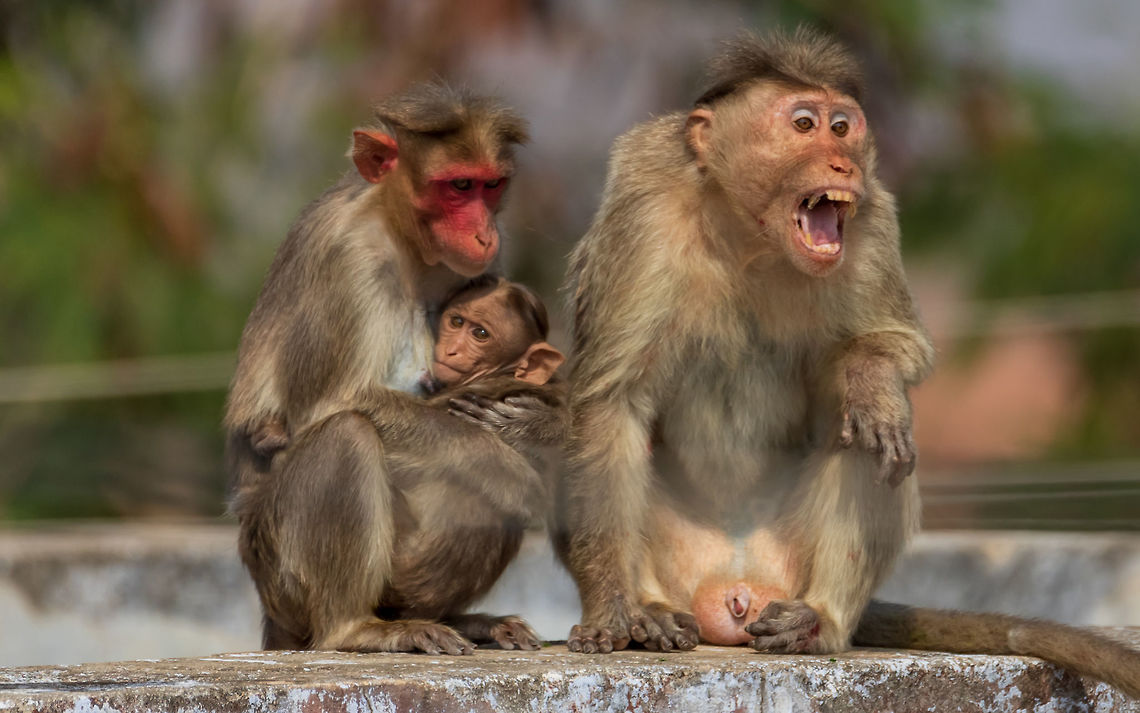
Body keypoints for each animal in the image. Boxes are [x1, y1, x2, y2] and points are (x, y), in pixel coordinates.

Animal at [225, 83, 561, 655]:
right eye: (458, 187)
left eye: (490, 186)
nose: (484, 233)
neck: (400, 236)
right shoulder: (348, 258)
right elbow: (334, 404)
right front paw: (515, 468)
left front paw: (540, 422)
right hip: (284, 576)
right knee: (347, 436)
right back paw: (354, 628)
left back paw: (458, 618)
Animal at [559, 28, 1140, 698]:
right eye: (804, 124)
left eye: (843, 126)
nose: (843, 162)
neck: (749, 238)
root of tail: (734, 585)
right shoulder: (643, 212)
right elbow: (610, 401)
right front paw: (611, 610)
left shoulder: (872, 219)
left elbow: (898, 343)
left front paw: (872, 380)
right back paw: (648, 608)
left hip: (787, 560)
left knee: (869, 437)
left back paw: (819, 618)